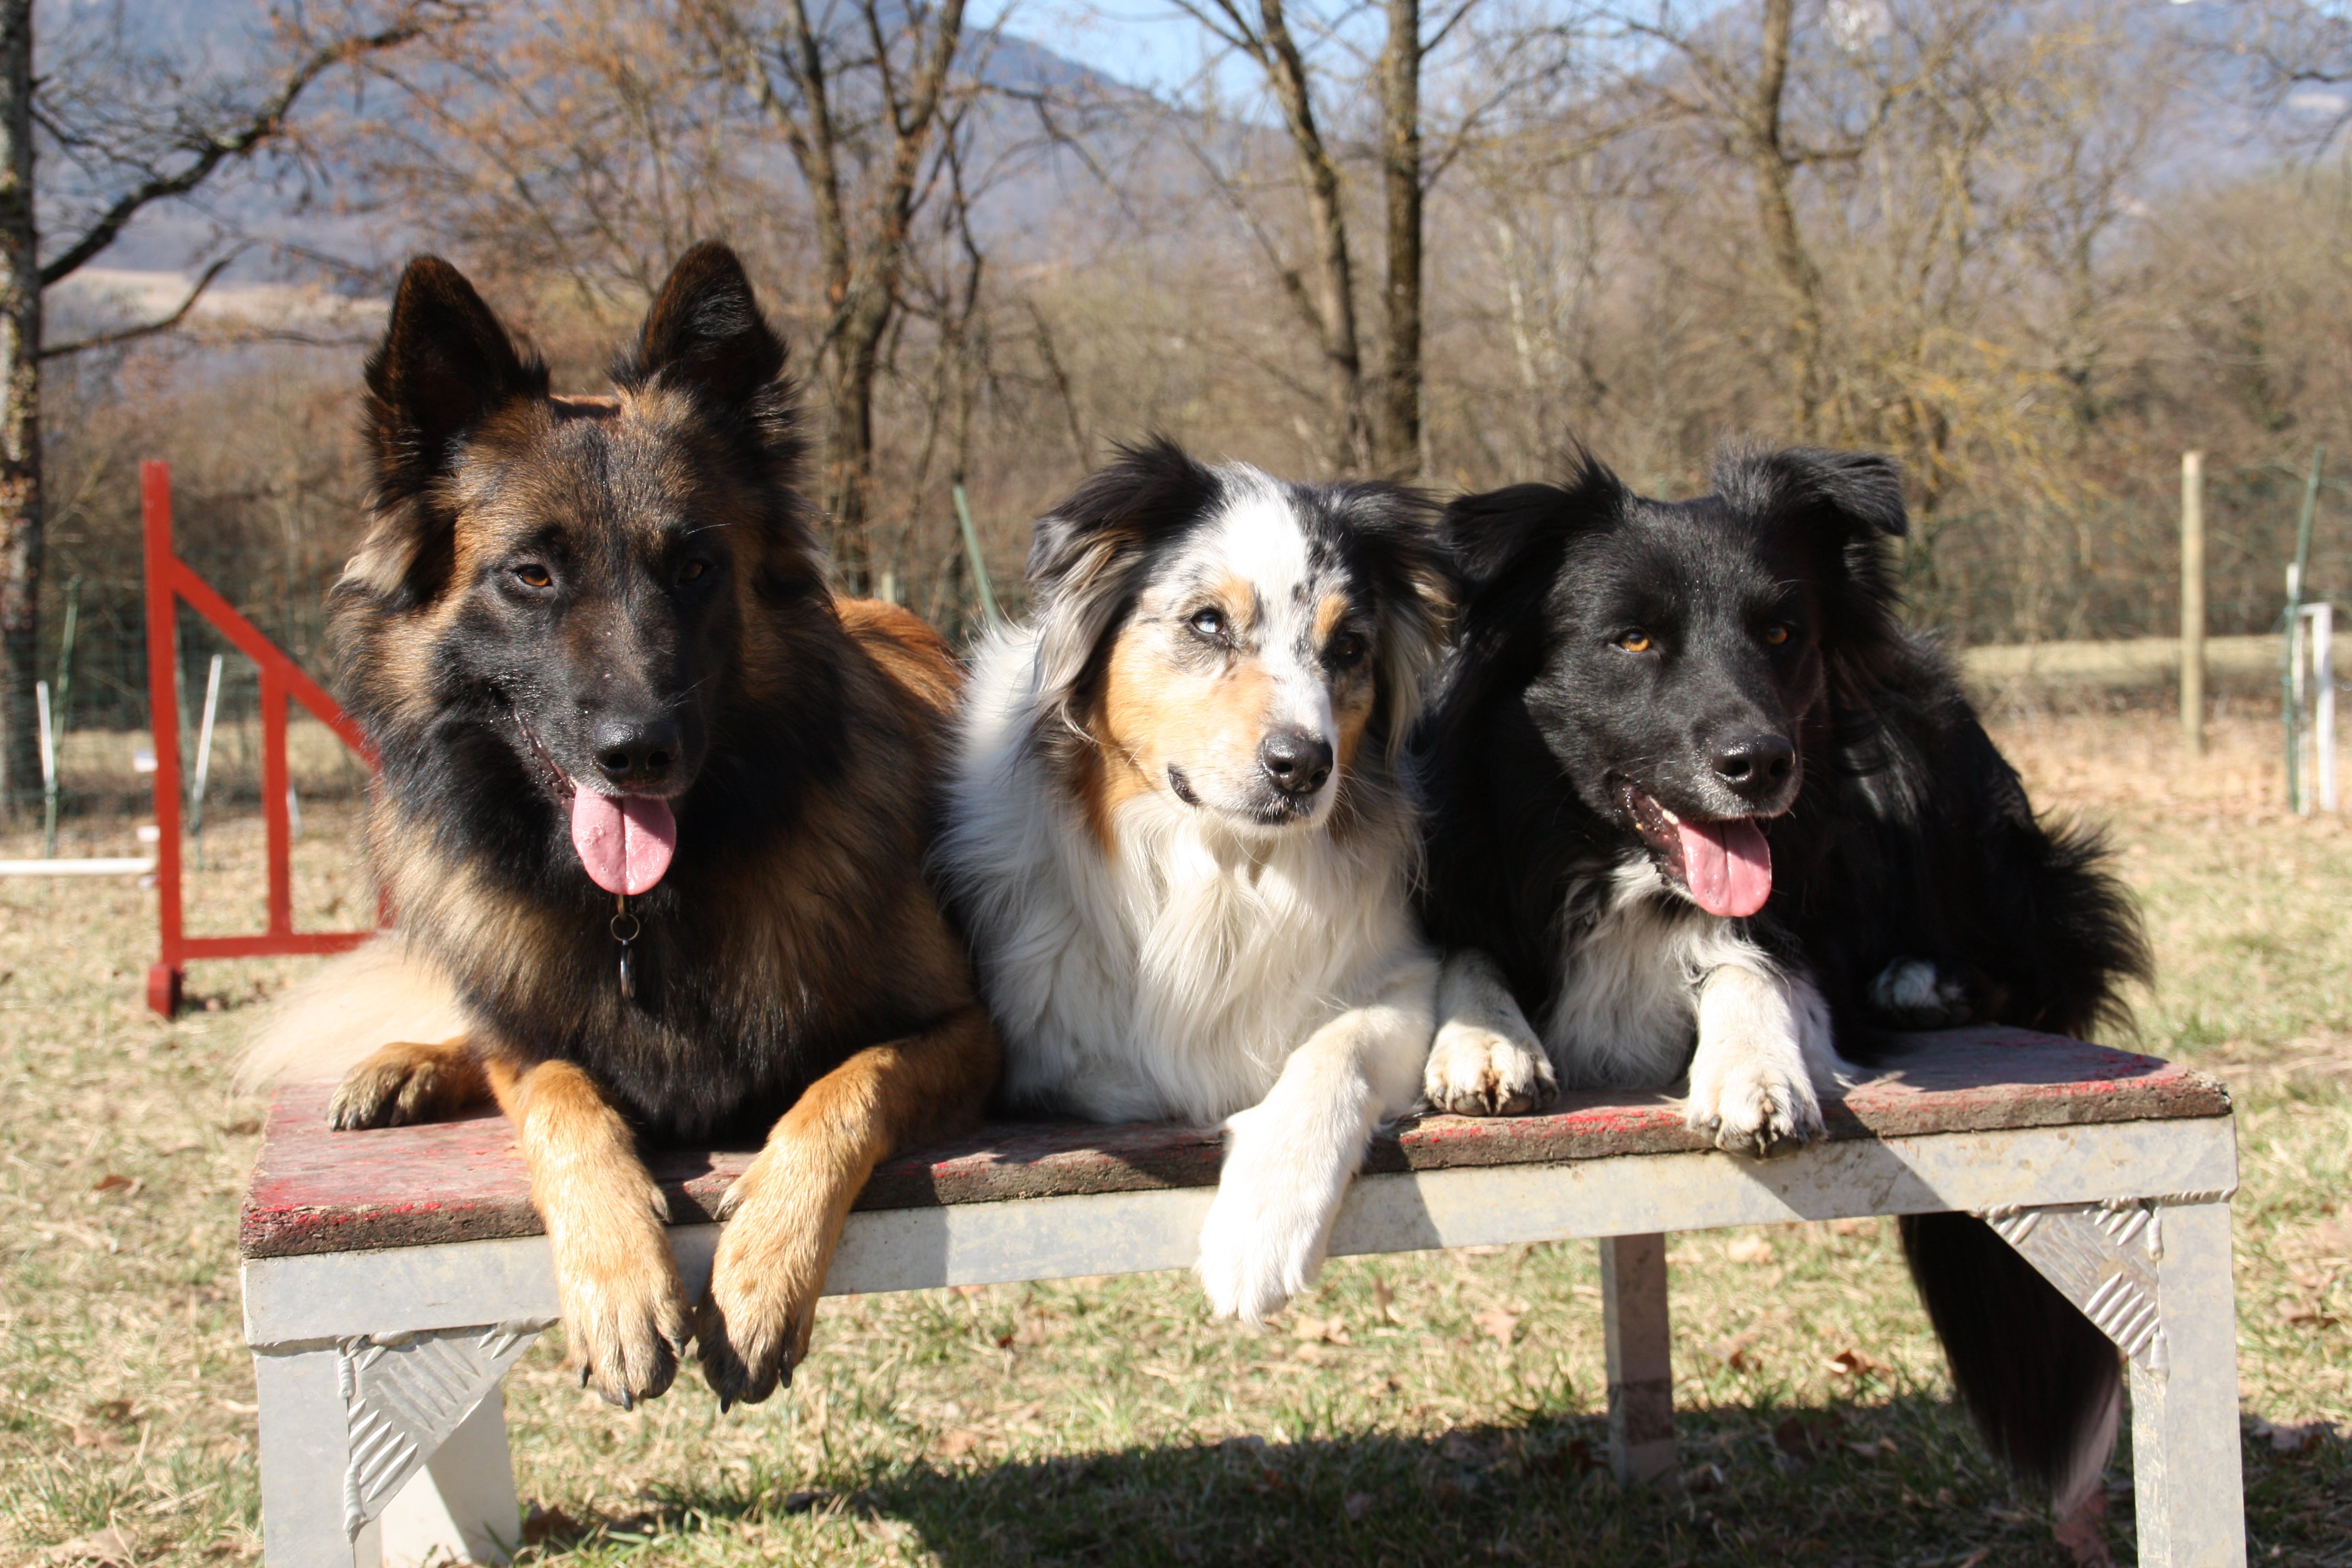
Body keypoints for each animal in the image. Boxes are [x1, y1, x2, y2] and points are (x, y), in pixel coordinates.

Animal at [253, 242, 997, 1410]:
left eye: (693, 567)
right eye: (531, 573)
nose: (636, 749)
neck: (647, 914)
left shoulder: (968, 1028)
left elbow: (845, 1085)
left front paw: (759, 1268)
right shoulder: (538, 1039)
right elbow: (556, 1091)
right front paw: (616, 1280)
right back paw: (408, 1061)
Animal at [1411, 451, 2154, 1504]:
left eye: (1779, 633)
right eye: (1632, 637)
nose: (1761, 763)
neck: (1624, 866)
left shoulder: (1807, 916)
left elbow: (1750, 967)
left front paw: (1753, 1074)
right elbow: (1469, 959)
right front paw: (1481, 1044)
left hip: (1923, 757)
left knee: (2033, 961)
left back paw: (1923, 981)